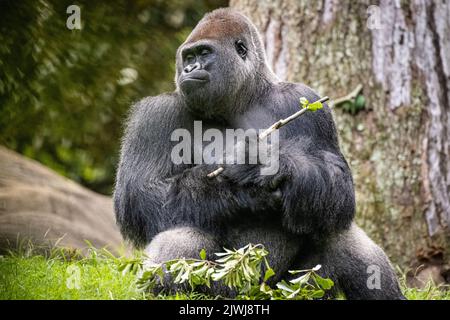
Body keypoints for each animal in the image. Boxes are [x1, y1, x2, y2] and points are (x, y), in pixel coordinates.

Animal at [113, 8, 404, 300]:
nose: (189, 69)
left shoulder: (307, 100)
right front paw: (235, 192)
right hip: (222, 288)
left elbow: (338, 183)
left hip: (294, 289)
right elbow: (139, 193)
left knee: (337, 229)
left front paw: (267, 163)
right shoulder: (155, 115)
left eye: (204, 53)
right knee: (184, 231)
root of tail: (250, 294)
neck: (243, 99)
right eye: (189, 57)